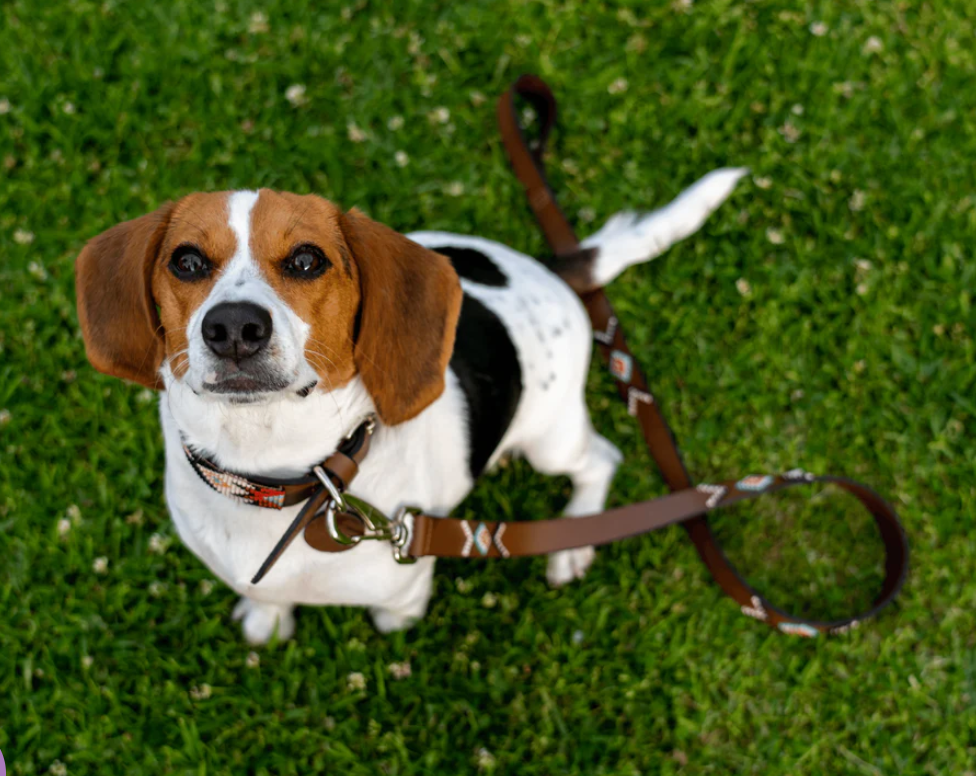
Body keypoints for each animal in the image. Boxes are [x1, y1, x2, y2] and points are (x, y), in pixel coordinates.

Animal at [74, 168, 748, 644]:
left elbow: (395, 610)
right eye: (186, 261)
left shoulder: (405, 574)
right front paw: (268, 620)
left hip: (550, 438)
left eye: (307, 259)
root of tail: (549, 270)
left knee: (600, 459)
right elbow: (267, 599)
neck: (272, 474)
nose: (234, 326)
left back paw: (573, 541)